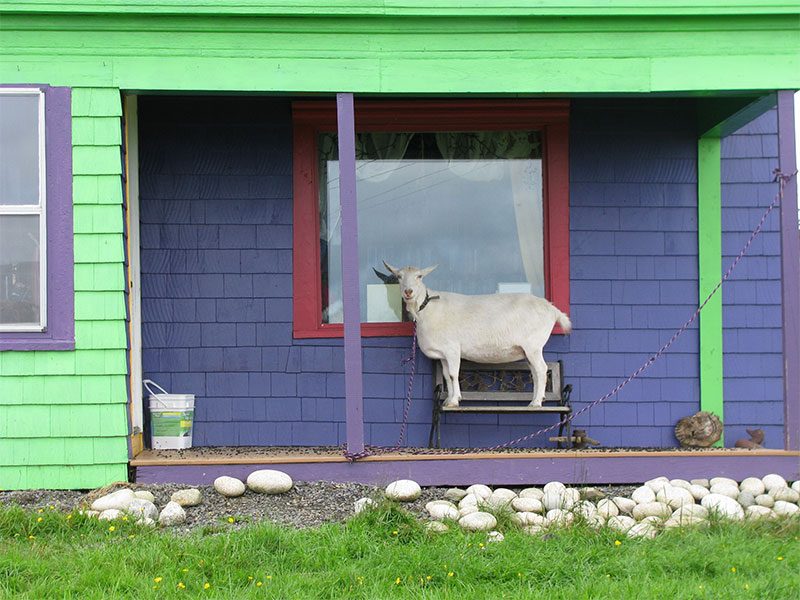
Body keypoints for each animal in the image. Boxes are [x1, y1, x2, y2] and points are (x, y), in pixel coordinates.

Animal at [384, 262, 572, 408]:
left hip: (533, 345)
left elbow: (453, 374)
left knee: (541, 369)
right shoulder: (443, 354)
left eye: (420, 276)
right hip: (528, 350)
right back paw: (534, 400)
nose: (408, 292)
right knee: (535, 372)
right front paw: (449, 400)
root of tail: (552, 309)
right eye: (399, 276)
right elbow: (446, 375)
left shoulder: (453, 348)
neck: (427, 308)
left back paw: (537, 403)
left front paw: (455, 401)